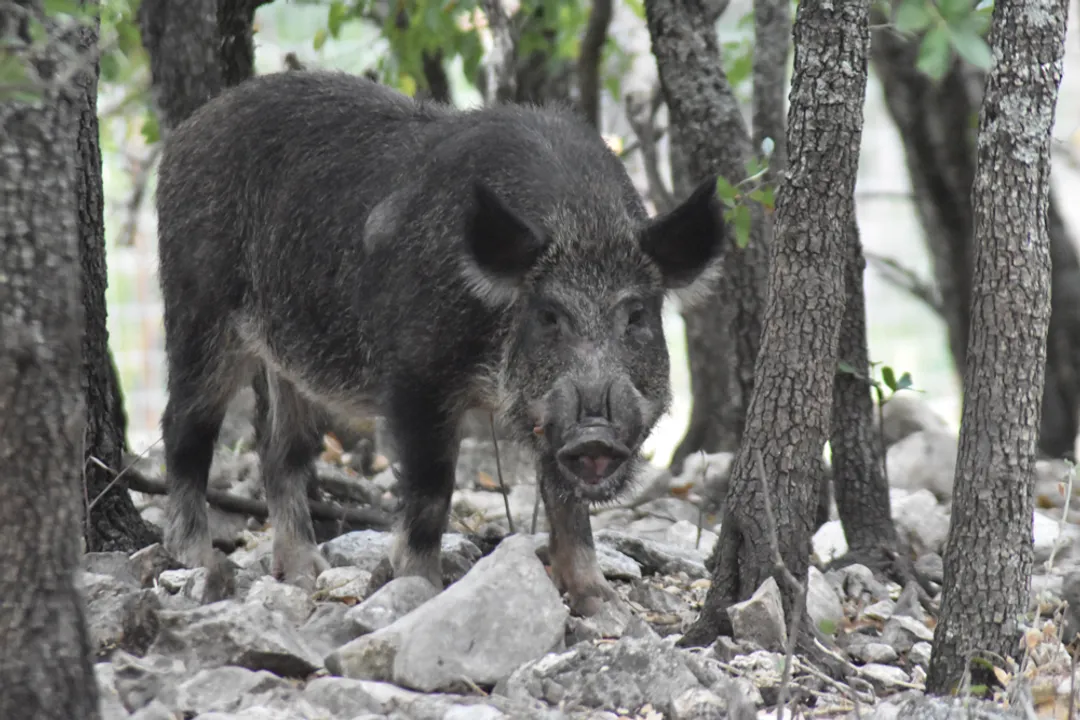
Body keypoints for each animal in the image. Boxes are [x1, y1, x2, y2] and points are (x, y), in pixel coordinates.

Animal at [154, 69, 726, 616]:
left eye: (636, 315)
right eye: (547, 315)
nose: (595, 433)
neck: (582, 224)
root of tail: (186, 133)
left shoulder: (546, 417)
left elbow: (566, 502)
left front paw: (605, 606)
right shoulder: (416, 378)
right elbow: (431, 489)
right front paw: (418, 588)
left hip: (294, 359)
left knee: (280, 452)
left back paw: (305, 572)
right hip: (197, 309)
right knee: (184, 429)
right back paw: (196, 560)